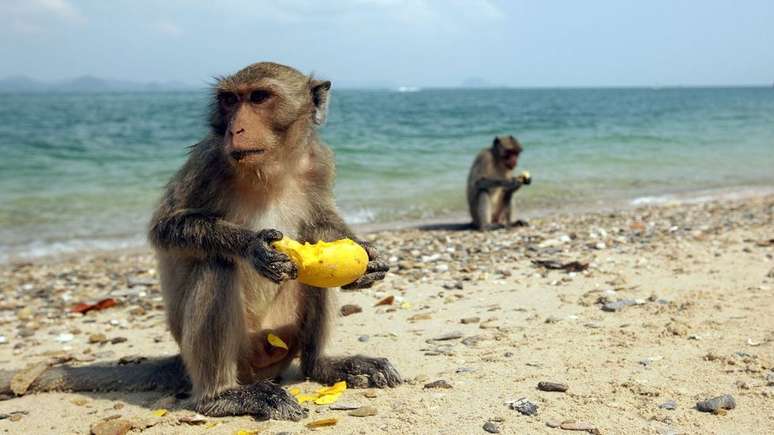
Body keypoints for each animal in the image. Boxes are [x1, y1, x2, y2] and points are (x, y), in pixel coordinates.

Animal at [0, 62, 400, 422]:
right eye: (229, 100)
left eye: (259, 97)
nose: (236, 128)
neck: (270, 168)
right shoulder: (208, 160)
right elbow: (165, 228)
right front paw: (252, 246)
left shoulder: (318, 162)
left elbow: (320, 224)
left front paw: (368, 261)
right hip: (238, 352)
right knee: (216, 264)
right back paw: (221, 396)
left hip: (282, 336)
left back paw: (321, 365)